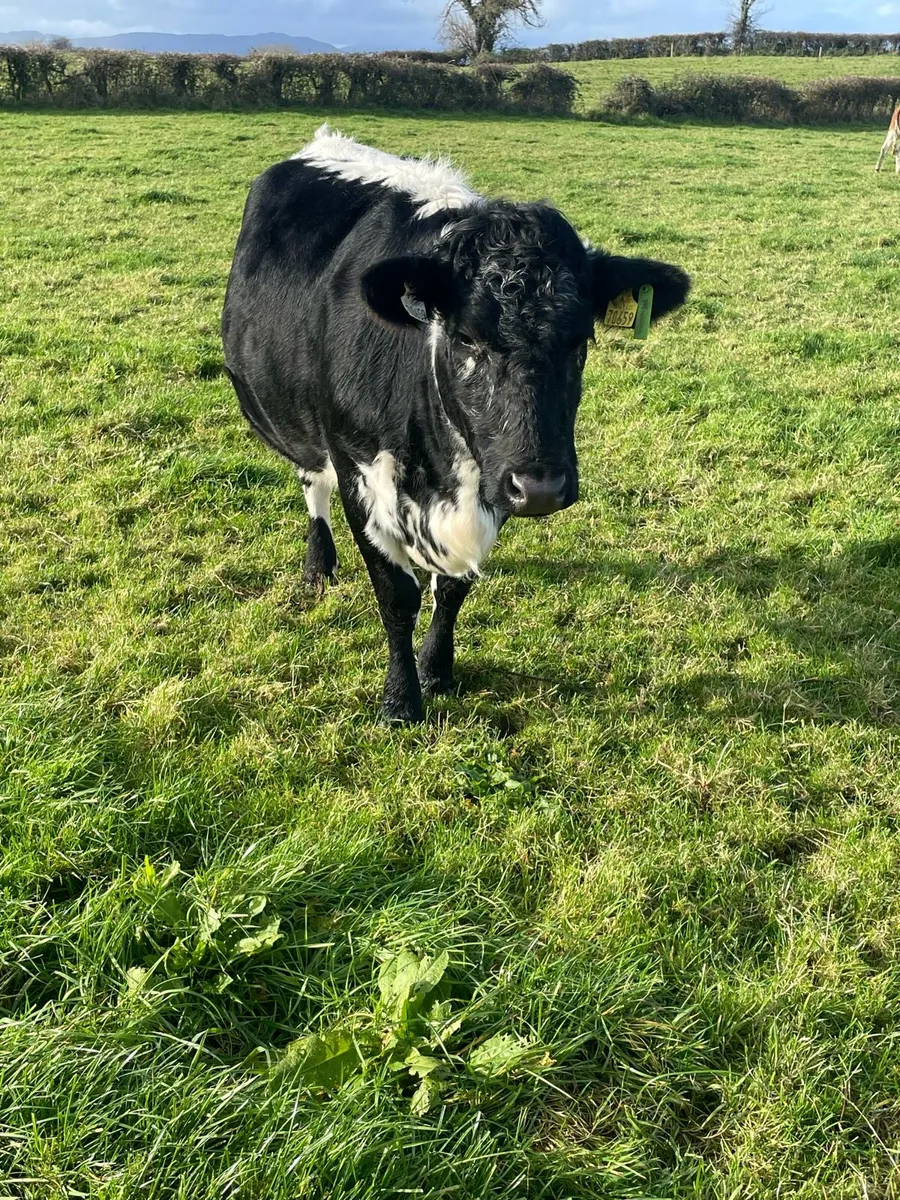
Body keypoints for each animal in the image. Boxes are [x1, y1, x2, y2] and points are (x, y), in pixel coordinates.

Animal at [222, 125, 690, 722]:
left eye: (580, 339)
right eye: (466, 338)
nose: (541, 486)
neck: (439, 475)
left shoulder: (494, 475)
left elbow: (451, 589)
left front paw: (436, 670)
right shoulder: (359, 472)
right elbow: (397, 595)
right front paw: (401, 699)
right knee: (311, 480)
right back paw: (319, 564)